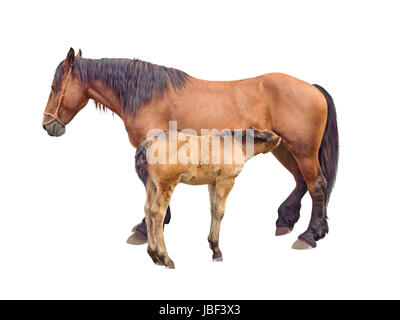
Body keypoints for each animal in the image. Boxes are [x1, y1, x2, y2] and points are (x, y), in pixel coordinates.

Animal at [43, 48, 338, 250]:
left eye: (55, 86)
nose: (48, 125)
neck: (146, 95)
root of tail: (312, 88)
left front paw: (145, 229)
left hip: (302, 150)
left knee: (317, 185)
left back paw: (309, 235)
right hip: (284, 149)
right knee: (302, 182)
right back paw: (287, 220)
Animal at [136, 128, 282, 268]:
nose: (280, 138)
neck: (234, 143)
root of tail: (150, 142)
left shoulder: (212, 183)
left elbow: (213, 209)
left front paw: (211, 244)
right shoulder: (226, 181)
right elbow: (219, 212)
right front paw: (217, 250)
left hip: (152, 185)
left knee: (147, 210)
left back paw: (153, 255)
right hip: (166, 186)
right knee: (157, 213)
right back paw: (165, 258)